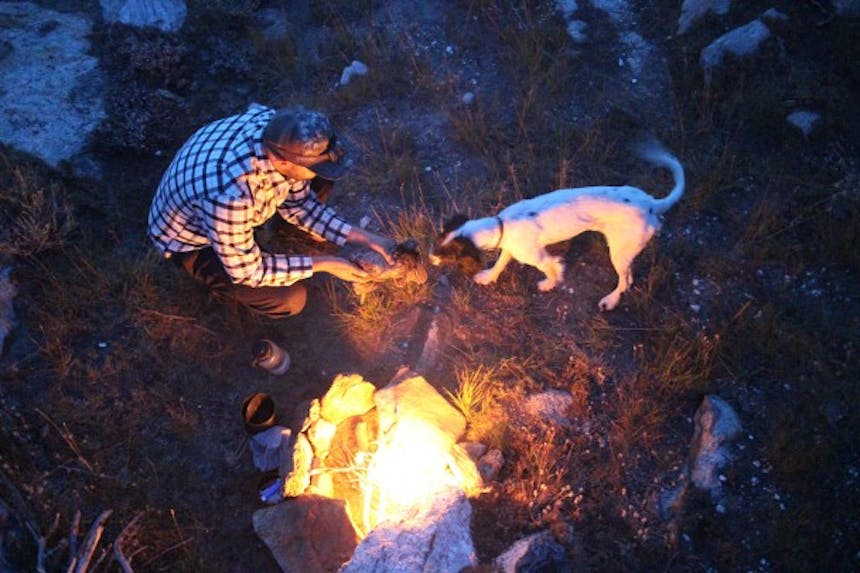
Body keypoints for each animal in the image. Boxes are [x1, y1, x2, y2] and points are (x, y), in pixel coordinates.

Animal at [430, 142, 684, 308]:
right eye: (439, 239)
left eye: (448, 254)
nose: (430, 258)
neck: (502, 225)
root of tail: (651, 203)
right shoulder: (511, 249)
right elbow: (500, 263)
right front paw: (488, 277)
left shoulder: (539, 257)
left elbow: (552, 269)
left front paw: (548, 285)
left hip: (620, 252)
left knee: (625, 281)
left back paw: (610, 300)